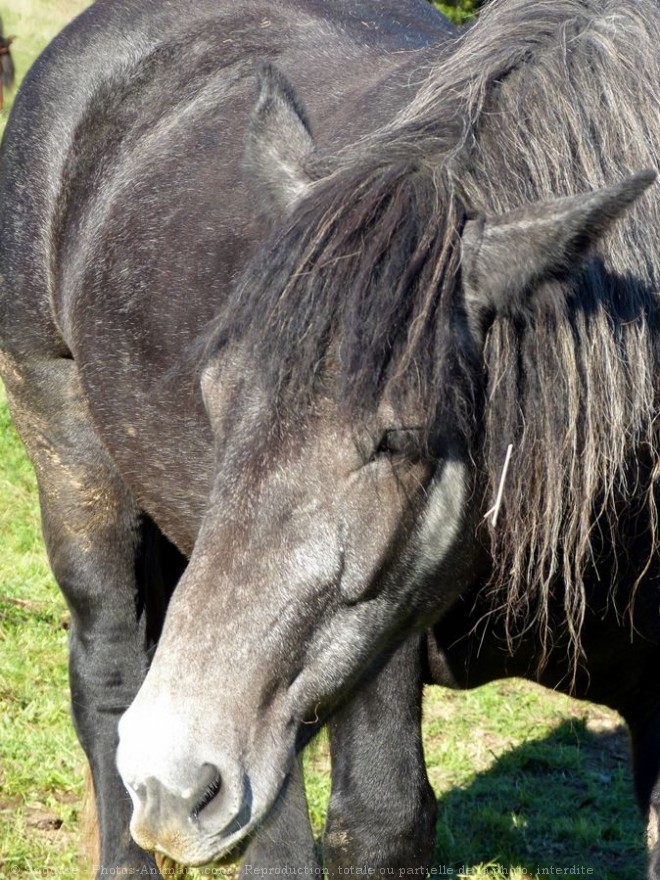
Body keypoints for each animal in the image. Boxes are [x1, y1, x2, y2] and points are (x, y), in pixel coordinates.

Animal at [1, 1, 660, 880]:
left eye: (401, 435)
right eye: (217, 390)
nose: (171, 776)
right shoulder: (376, 649)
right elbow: (381, 821)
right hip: (72, 463)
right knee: (108, 675)